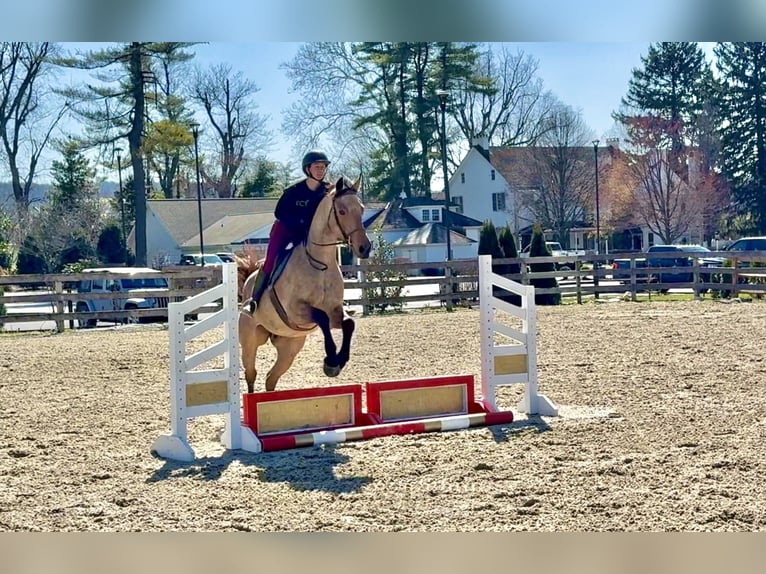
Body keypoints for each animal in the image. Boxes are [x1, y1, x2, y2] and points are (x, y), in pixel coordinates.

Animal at [236, 176, 372, 393]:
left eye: (361, 209)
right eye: (342, 211)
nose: (364, 248)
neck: (320, 264)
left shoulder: (334, 311)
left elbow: (348, 323)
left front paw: (338, 361)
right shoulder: (296, 311)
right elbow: (321, 318)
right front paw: (331, 361)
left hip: (290, 346)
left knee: (271, 378)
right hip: (250, 340)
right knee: (251, 373)